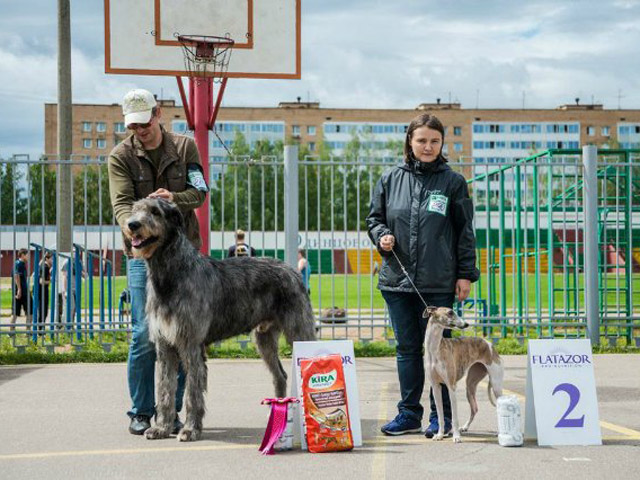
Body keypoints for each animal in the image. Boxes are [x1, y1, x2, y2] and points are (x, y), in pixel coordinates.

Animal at [124, 197, 316, 440]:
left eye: (155, 212)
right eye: (134, 209)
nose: (132, 225)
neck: (171, 273)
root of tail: (291, 270)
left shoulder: (191, 344)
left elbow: (192, 392)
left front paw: (190, 429)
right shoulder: (165, 345)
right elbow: (164, 389)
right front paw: (161, 427)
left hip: (299, 331)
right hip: (264, 338)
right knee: (280, 374)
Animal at [424, 308, 504, 442]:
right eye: (450, 312)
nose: (466, 324)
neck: (434, 349)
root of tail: (490, 344)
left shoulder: (451, 386)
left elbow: (454, 416)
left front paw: (456, 437)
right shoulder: (435, 387)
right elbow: (440, 415)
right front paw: (439, 435)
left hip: (496, 385)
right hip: (470, 385)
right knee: (475, 408)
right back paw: (465, 427)